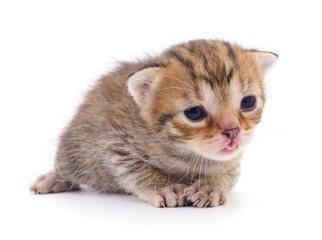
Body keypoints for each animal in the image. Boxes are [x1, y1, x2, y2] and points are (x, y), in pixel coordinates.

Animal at [29, 39, 276, 208]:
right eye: (194, 113)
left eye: (248, 102)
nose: (232, 131)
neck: (187, 153)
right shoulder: (115, 146)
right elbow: (138, 170)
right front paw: (164, 187)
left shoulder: (232, 162)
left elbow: (225, 175)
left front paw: (210, 187)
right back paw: (53, 179)